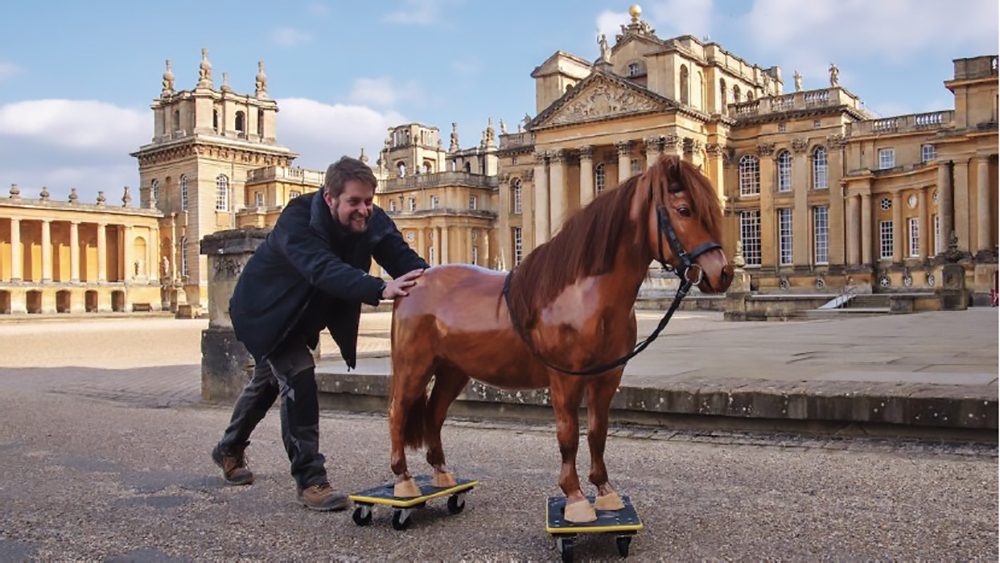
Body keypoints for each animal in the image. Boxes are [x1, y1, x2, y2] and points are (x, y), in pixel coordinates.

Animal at [386, 155, 733, 523]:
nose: (723, 273)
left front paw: (605, 491)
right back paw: (404, 481)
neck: (584, 295)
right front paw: (575, 497)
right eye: (684, 210)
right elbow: (568, 435)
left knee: (434, 414)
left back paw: (442, 475)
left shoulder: (607, 377)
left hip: (453, 370)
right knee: (398, 412)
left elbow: (597, 432)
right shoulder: (566, 379)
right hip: (414, 366)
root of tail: (414, 279)